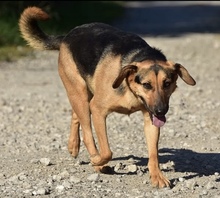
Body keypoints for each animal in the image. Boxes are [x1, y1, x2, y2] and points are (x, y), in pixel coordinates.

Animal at [18, 6, 196, 189]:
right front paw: (98, 161)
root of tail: (67, 35)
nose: (161, 111)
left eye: (167, 83)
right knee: (87, 134)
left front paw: (157, 176)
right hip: (80, 94)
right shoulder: (98, 110)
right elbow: (107, 151)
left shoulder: (150, 118)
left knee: (75, 116)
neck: (130, 88)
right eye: (147, 85)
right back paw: (96, 161)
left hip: (83, 95)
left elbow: (153, 153)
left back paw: (73, 145)